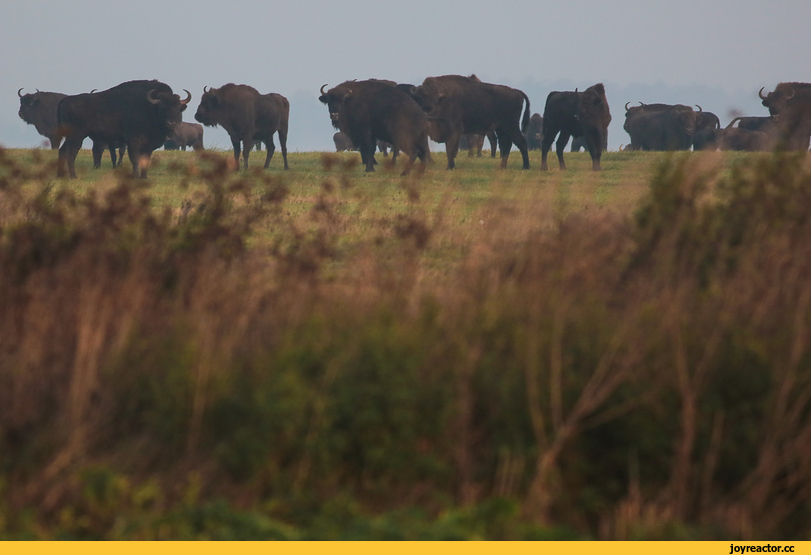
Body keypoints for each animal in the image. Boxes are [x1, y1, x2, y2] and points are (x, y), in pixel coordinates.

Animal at [56, 78, 191, 177]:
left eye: (177, 109)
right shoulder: (133, 141)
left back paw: (60, 175)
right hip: (77, 137)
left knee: (62, 151)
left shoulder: (148, 145)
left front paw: (144, 177)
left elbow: (146, 160)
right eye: (162, 108)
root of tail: (65, 101)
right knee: (71, 154)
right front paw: (135, 176)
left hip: (70, 137)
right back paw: (73, 176)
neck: (148, 108)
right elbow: (135, 159)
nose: (171, 123)